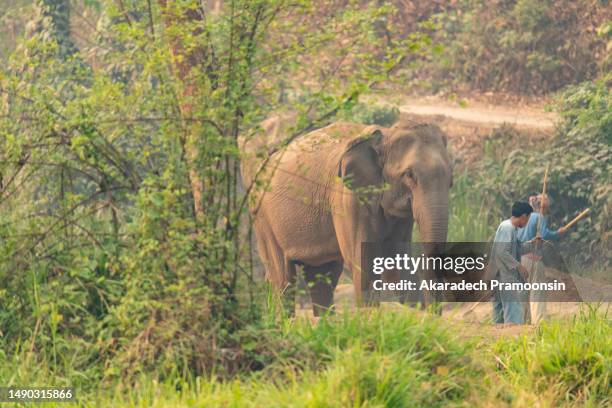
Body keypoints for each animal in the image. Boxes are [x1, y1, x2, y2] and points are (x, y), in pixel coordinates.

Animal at [241, 118, 452, 316]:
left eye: (450, 179)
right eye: (409, 175)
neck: (385, 134)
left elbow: (398, 268)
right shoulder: (347, 198)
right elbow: (364, 263)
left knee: (322, 277)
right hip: (263, 219)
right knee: (283, 278)